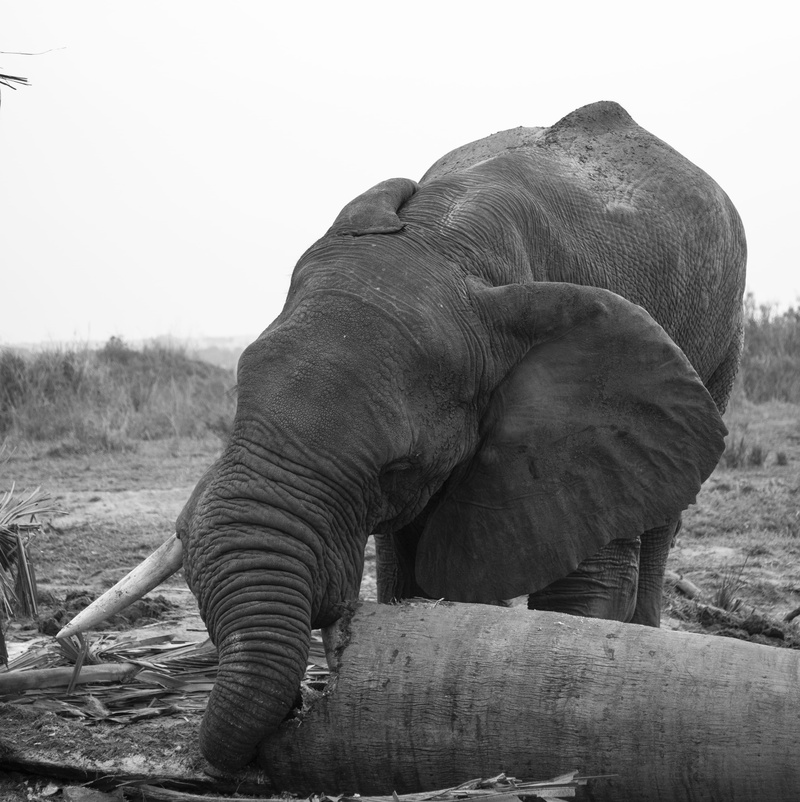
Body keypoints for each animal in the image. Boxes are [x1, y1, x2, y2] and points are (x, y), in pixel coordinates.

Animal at [62, 101, 746, 771]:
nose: (297, 711)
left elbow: (584, 592)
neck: (449, 240)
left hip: (724, 339)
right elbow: (410, 578)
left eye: (397, 468)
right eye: (238, 389)